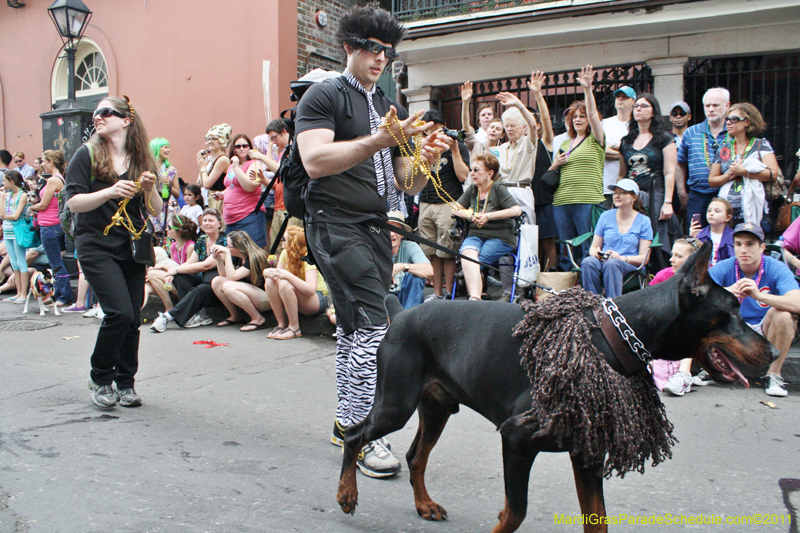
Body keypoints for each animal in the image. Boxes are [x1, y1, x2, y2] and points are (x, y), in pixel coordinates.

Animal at [336, 243, 776, 528]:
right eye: (731, 312)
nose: (772, 350)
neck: (609, 339)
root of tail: (400, 313)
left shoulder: (588, 450)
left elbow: (597, 519)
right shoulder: (517, 436)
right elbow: (515, 512)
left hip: (437, 405)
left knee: (415, 455)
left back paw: (424, 504)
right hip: (396, 402)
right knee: (356, 435)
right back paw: (347, 494)